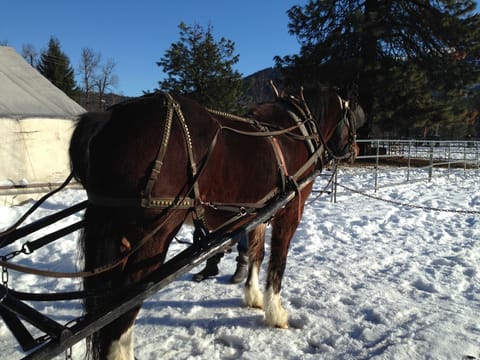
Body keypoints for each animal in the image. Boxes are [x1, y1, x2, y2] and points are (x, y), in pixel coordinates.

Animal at [69, 86, 366, 358]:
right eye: (353, 120)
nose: (355, 149)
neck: (296, 131)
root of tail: (109, 118)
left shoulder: (257, 213)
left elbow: (257, 253)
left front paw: (253, 296)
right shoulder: (290, 211)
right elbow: (278, 263)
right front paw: (276, 312)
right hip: (153, 235)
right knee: (123, 307)